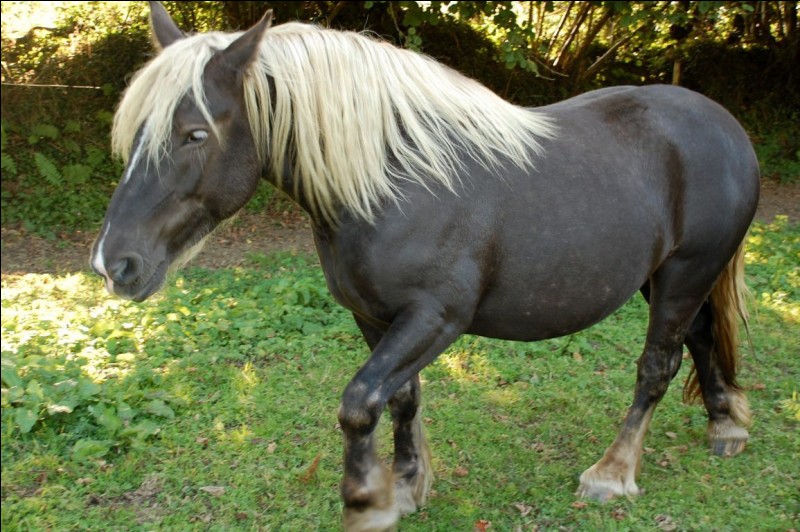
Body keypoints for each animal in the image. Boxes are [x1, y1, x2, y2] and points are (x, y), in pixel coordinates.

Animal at [91, 3, 759, 530]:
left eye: (195, 133)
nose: (112, 264)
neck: (393, 184)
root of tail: (725, 125)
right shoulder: (375, 318)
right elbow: (400, 399)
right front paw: (408, 485)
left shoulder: (435, 318)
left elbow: (359, 402)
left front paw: (368, 501)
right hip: (667, 279)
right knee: (701, 339)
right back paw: (724, 427)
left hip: (684, 274)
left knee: (656, 367)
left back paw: (613, 472)